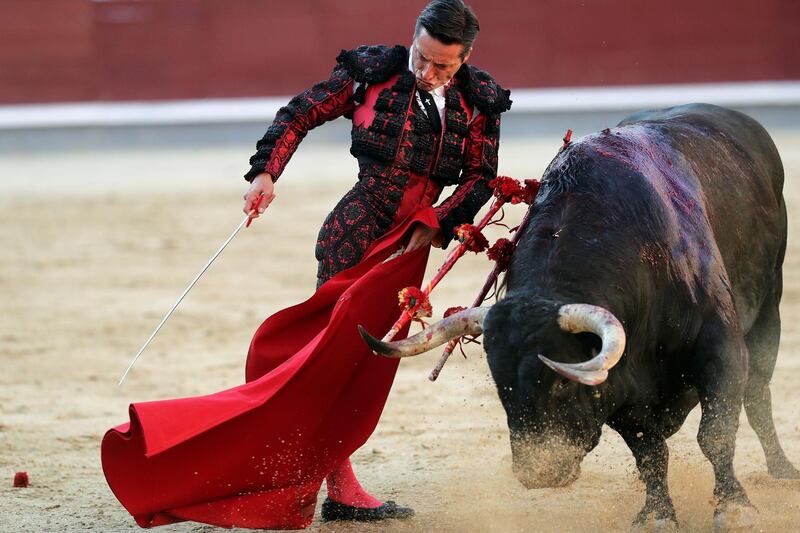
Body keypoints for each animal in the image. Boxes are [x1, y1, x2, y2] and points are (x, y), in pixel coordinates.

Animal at [360, 103, 792, 528]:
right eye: (502, 388)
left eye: (561, 385)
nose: (539, 473)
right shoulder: (619, 385)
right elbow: (649, 451)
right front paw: (656, 514)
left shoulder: (719, 345)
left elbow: (716, 432)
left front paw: (734, 508)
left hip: (769, 305)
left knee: (758, 392)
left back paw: (783, 468)